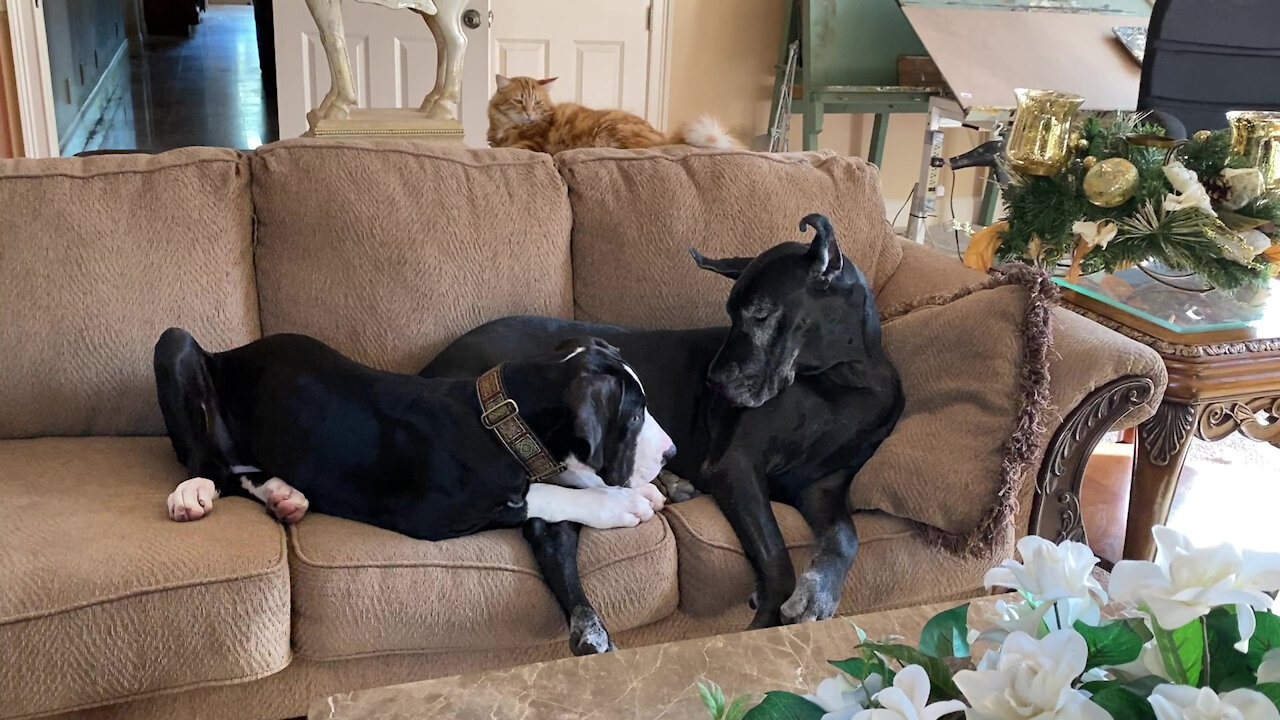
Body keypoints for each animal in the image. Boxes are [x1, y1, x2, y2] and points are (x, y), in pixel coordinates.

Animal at [152, 330, 680, 650]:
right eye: (634, 417)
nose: (671, 453)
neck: (494, 422)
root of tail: (232, 352)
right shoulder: (434, 512)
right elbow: (538, 493)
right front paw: (621, 502)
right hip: (174, 346)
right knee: (210, 465)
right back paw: (193, 492)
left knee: (242, 471)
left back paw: (284, 493)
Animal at [424, 212, 906, 638]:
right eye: (733, 315)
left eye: (761, 314)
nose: (713, 381)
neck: (844, 378)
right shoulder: (735, 464)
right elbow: (776, 558)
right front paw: (766, 619)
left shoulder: (823, 485)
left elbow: (846, 535)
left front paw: (819, 592)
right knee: (550, 528)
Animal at [483, 74, 742, 152]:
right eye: (519, 101)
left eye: (536, 102)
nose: (529, 114)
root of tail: (665, 136)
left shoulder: (533, 144)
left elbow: (510, 148)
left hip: (608, 132)